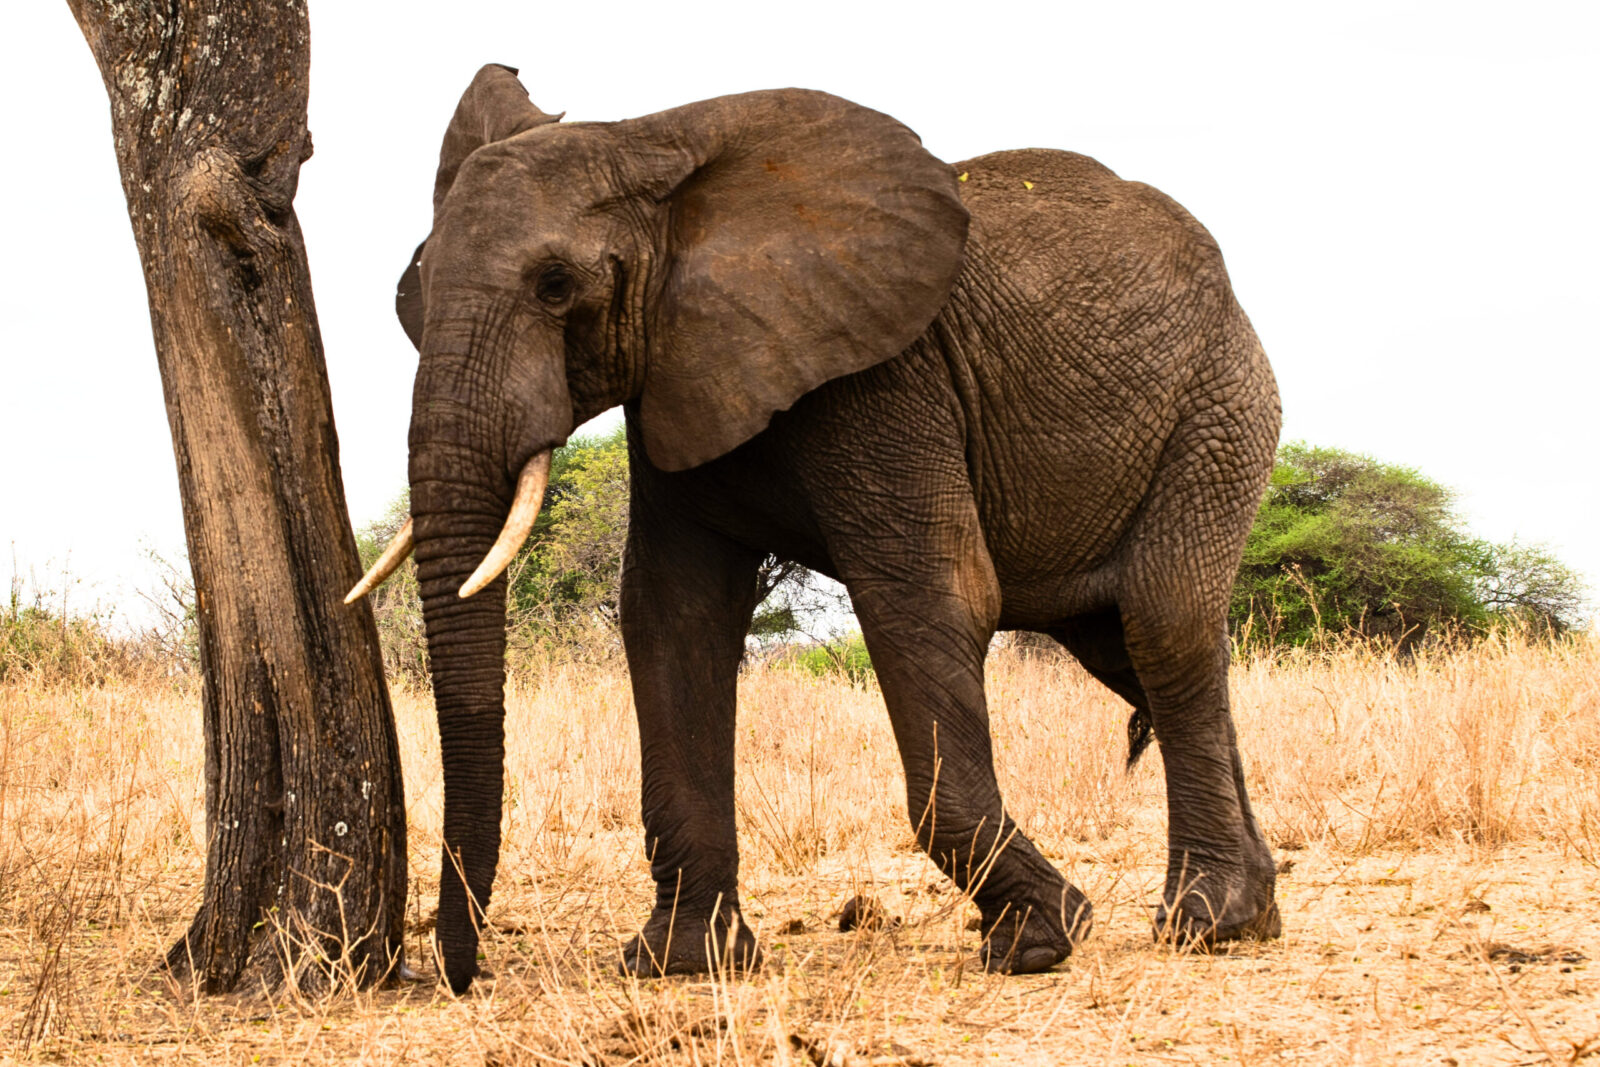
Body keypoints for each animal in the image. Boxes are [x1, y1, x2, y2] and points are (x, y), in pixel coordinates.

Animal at [348, 64, 1283, 993]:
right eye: (413, 296)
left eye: (554, 285)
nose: (455, 974)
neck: (652, 149)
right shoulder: (678, 371)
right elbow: (671, 619)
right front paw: (684, 963)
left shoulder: (887, 377)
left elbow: (929, 598)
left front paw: (1040, 938)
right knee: (1129, 647)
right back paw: (1252, 914)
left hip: (1220, 404)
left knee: (1163, 623)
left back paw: (1206, 920)